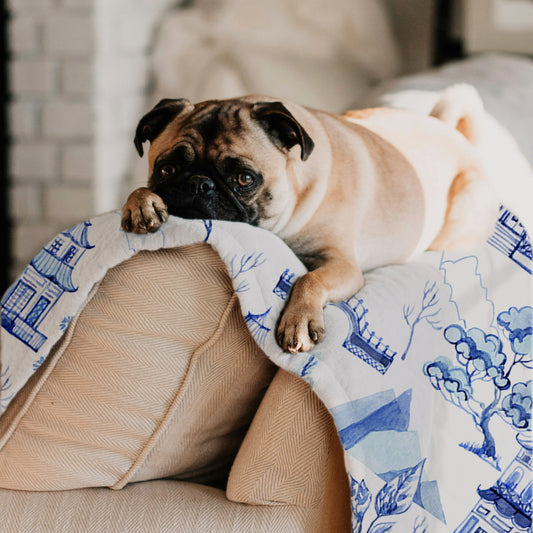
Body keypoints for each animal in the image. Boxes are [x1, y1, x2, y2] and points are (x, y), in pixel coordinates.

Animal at [120, 87, 498, 354]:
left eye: (244, 179)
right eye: (167, 169)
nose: (200, 184)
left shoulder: (343, 265)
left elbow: (309, 280)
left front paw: (298, 321)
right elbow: (139, 190)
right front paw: (140, 203)